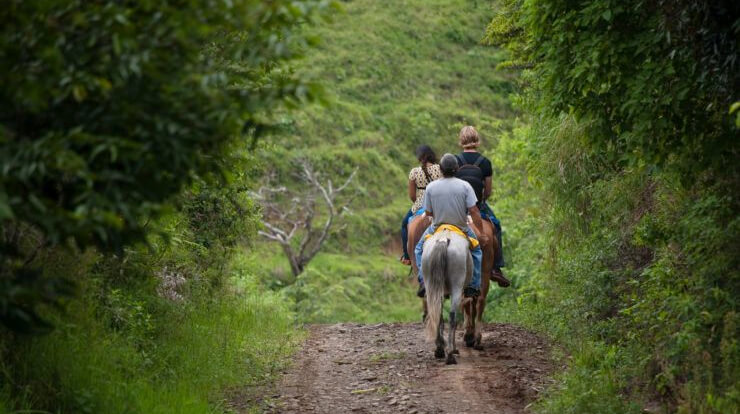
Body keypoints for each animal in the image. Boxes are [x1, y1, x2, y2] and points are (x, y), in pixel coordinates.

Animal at [422, 228, 474, 364]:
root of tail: (443, 239)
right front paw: (454, 348)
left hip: (431, 286)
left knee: (437, 314)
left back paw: (440, 349)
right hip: (457, 287)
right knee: (452, 317)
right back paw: (450, 354)